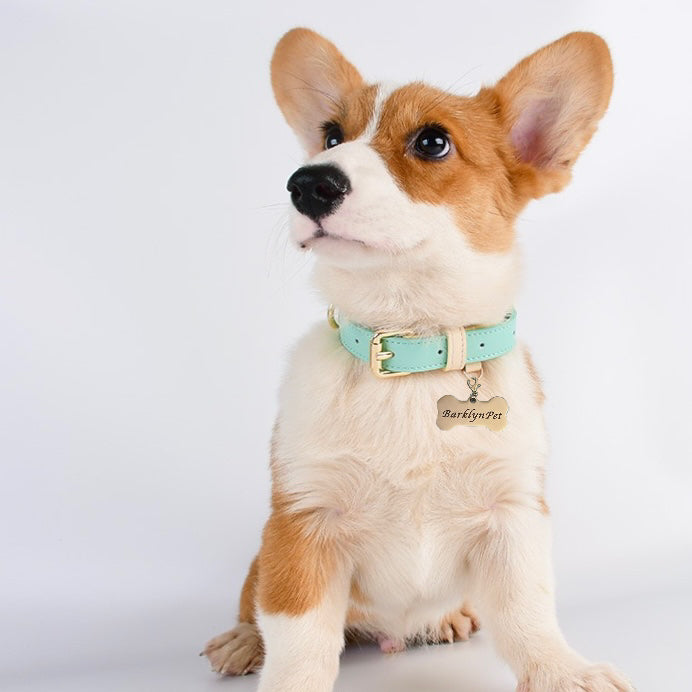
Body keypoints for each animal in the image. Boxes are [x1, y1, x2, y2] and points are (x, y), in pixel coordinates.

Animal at [201, 28, 632, 692]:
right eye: (331, 135)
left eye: (432, 142)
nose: (308, 183)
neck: (409, 351)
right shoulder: (301, 522)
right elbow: (299, 643)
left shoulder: (513, 513)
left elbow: (529, 611)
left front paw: (561, 670)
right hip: (262, 554)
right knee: (253, 602)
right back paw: (243, 641)